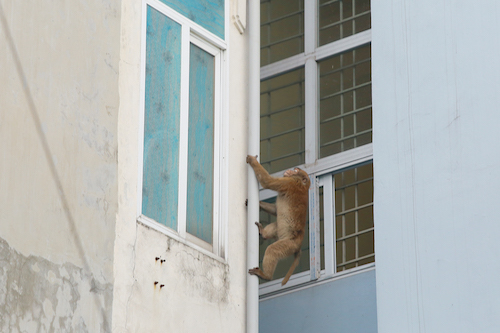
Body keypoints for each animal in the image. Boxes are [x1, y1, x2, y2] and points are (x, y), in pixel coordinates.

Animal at [245, 154, 310, 284]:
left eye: (296, 170)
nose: (291, 169)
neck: (302, 184)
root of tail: (298, 246)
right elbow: (276, 210)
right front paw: (257, 204)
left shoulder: (289, 183)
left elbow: (267, 182)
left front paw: (253, 161)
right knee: (277, 225)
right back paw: (264, 233)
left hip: (289, 245)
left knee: (272, 250)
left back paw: (266, 276)